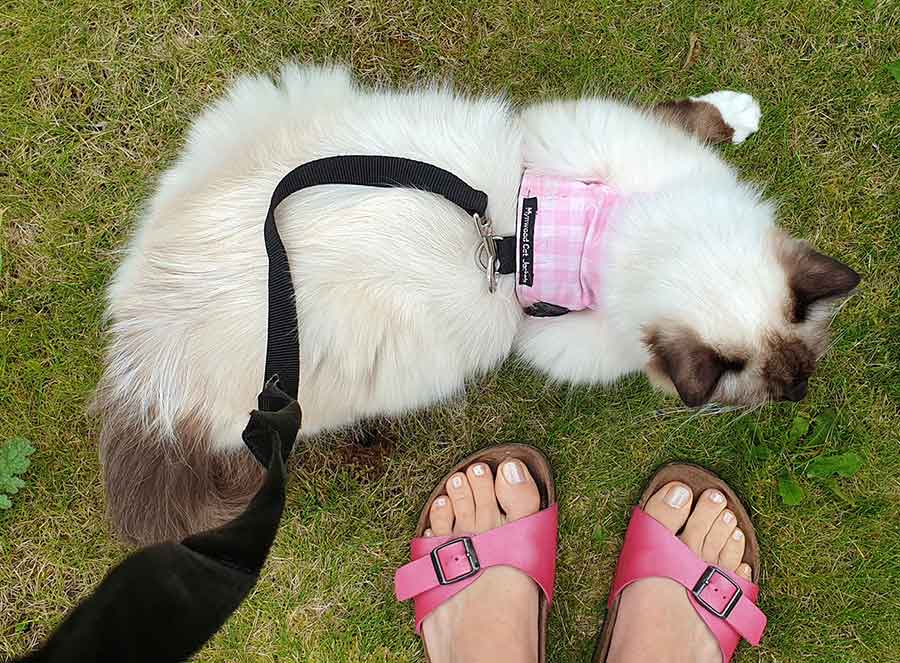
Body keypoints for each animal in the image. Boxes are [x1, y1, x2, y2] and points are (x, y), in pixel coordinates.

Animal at [95, 65, 860, 548]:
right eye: (772, 396)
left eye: (804, 379)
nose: (801, 396)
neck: (591, 233)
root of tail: (143, 366)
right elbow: (693, 114)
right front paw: (743, 112)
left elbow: (697, 116)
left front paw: (740, 111)